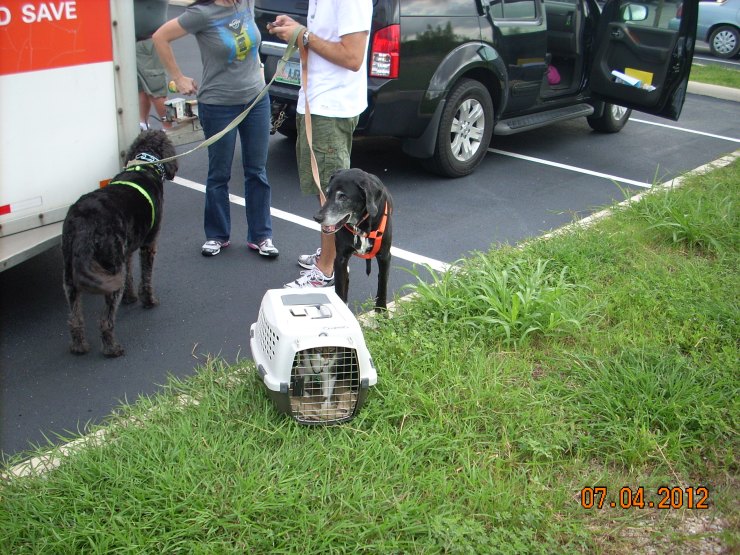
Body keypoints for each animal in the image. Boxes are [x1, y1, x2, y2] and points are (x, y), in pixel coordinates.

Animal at [62, 130, 177, 357]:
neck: (145, 164)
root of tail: (84, 223)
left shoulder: (127, 250)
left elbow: (131, 275)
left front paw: (130, 298)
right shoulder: (149, 244)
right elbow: (146, 277)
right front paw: (149, 301)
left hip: (71, 275)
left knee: (74, 318)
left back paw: (79, 346)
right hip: (109, 268)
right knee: (105, 320)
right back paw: (112, 349)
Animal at [314, 168, 393, 311]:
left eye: (343, 197)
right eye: (327, 193)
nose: (317, 217)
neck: (361, 226)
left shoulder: (385, 256)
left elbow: (382, 285)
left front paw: (382, 312)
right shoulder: (340, 258)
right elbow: (340, 288)